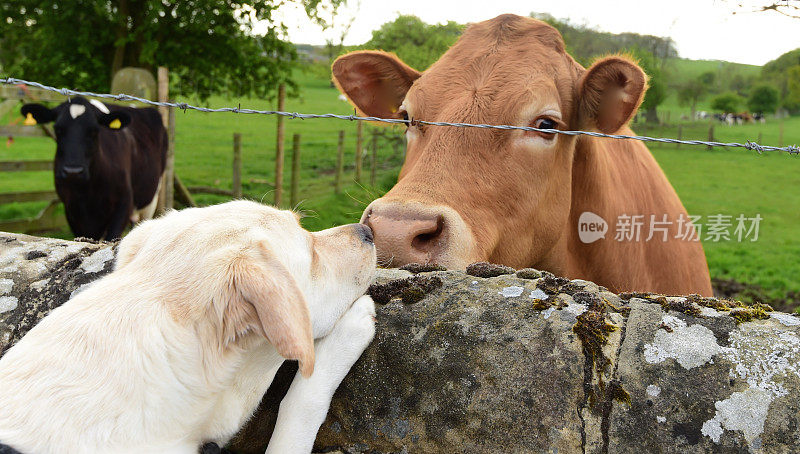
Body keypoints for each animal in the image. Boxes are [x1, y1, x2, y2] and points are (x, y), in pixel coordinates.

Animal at [21, 97, 167, 241]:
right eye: (58, 129)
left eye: (94, 131)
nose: (73, 172)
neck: (89, 192)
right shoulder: (71, 209)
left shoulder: (124, 204)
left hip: (151, 198)